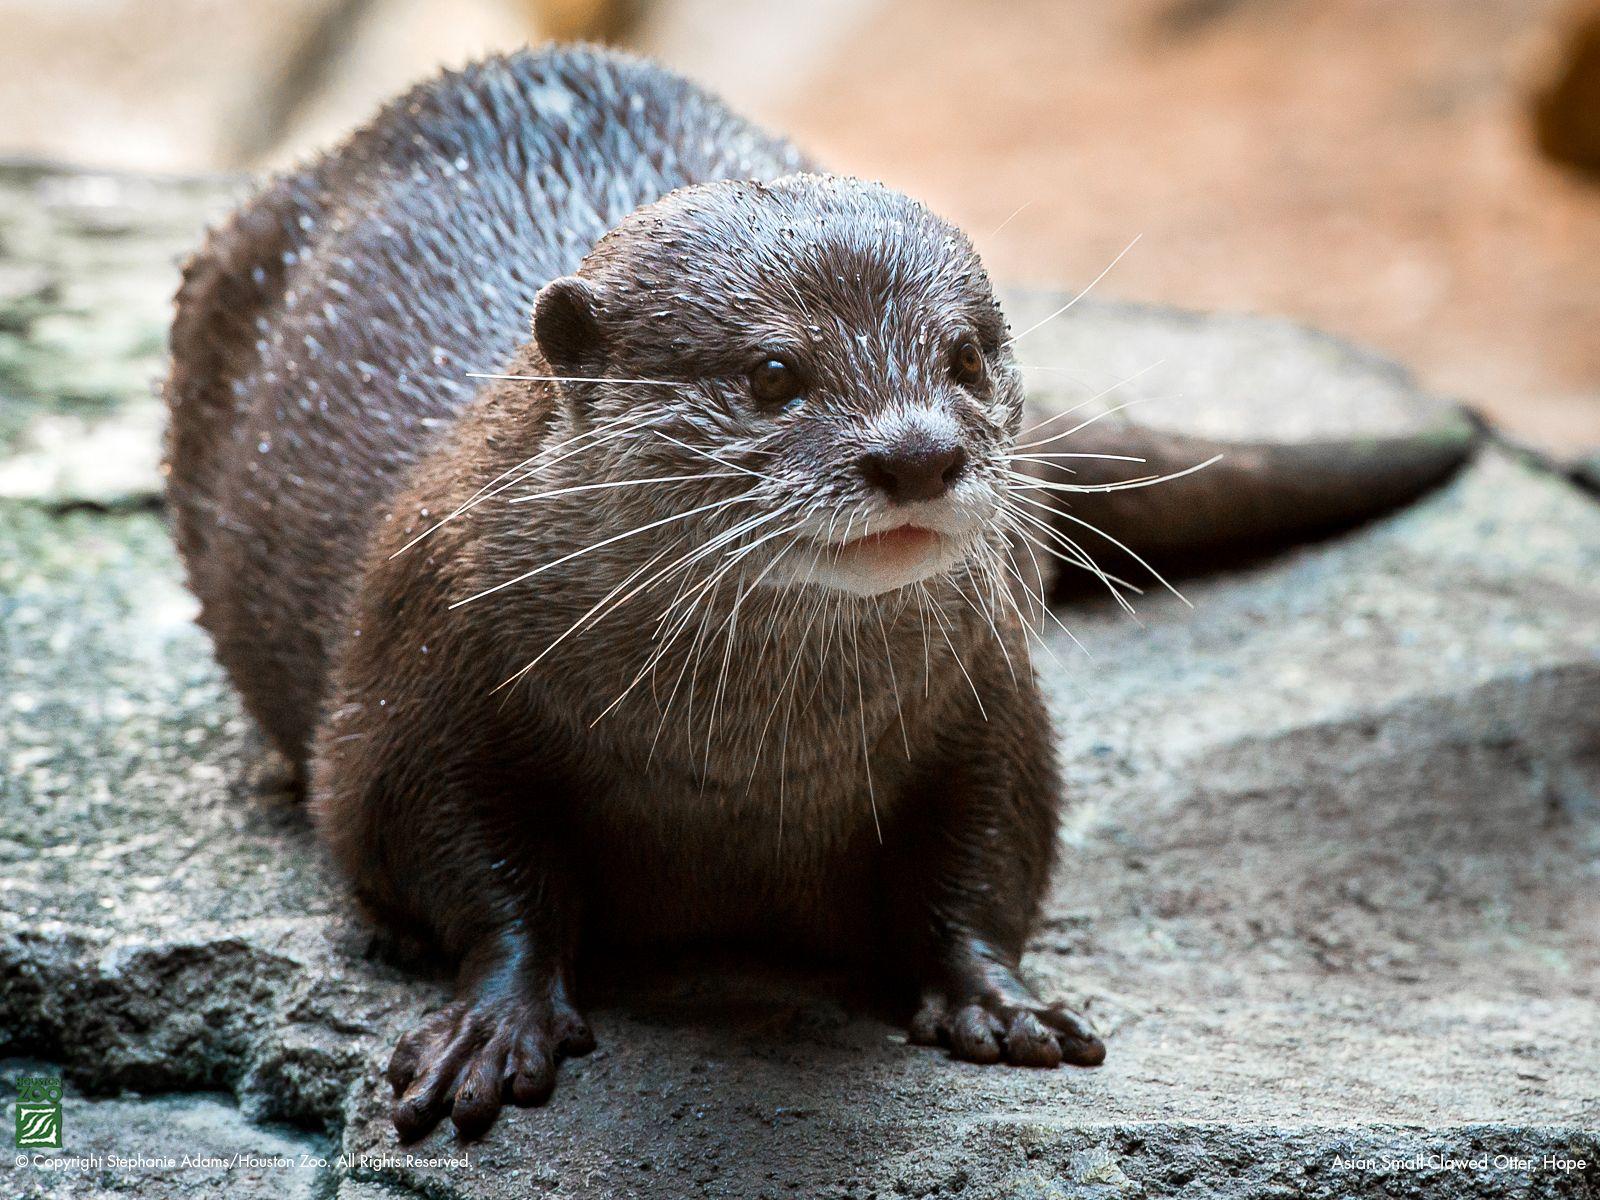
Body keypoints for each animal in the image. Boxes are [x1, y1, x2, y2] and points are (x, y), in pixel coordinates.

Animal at [164, 45, 1472, 1141]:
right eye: (771, 372)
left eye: (962, 358)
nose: (917, 453)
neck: (738, 763)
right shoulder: (419, 671)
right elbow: (443, 853)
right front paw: (497, 1021)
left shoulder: (989, 695)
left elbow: (995, 847)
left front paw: (998, 999)